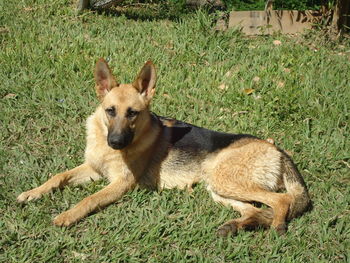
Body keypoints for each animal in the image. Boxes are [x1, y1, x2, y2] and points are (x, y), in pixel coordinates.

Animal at [17, 59, 310, 237]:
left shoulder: (120, 184)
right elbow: (58, 176)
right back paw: (233, 227)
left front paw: (67, 215)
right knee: (256, 210)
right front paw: (33, 193)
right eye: (110, 111)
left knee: (281, 201)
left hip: (224, 180)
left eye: (133, 113)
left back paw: (278, 228)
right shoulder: (93, 170)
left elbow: (89, 199)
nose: (116, 142)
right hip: (218, 189)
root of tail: (277, 150)